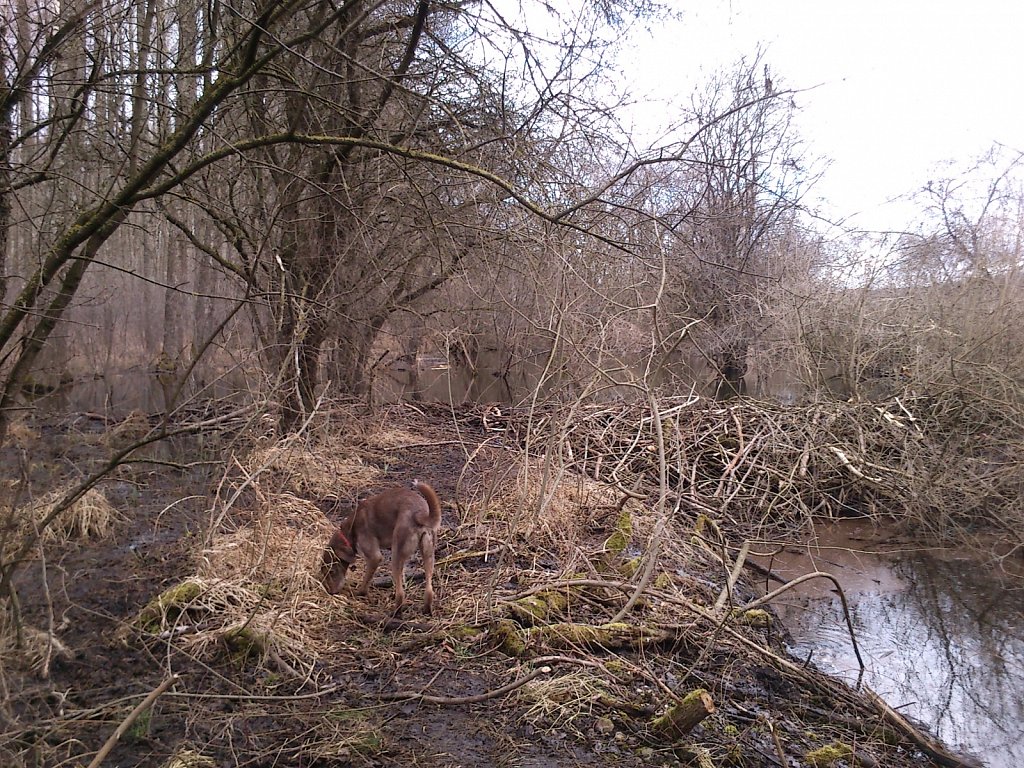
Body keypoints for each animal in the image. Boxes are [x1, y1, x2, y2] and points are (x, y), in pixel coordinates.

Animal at [319, 481, 440, 614]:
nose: (330, 592)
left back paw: (395, 612)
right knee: (429, 590)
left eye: (332, 571)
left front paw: (359, 593)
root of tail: (420, 513)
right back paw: (426, 610)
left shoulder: (374, 558)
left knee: (400, 594)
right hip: (428, 554)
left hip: (396, 554)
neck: (350, 529)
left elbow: (366, 580)